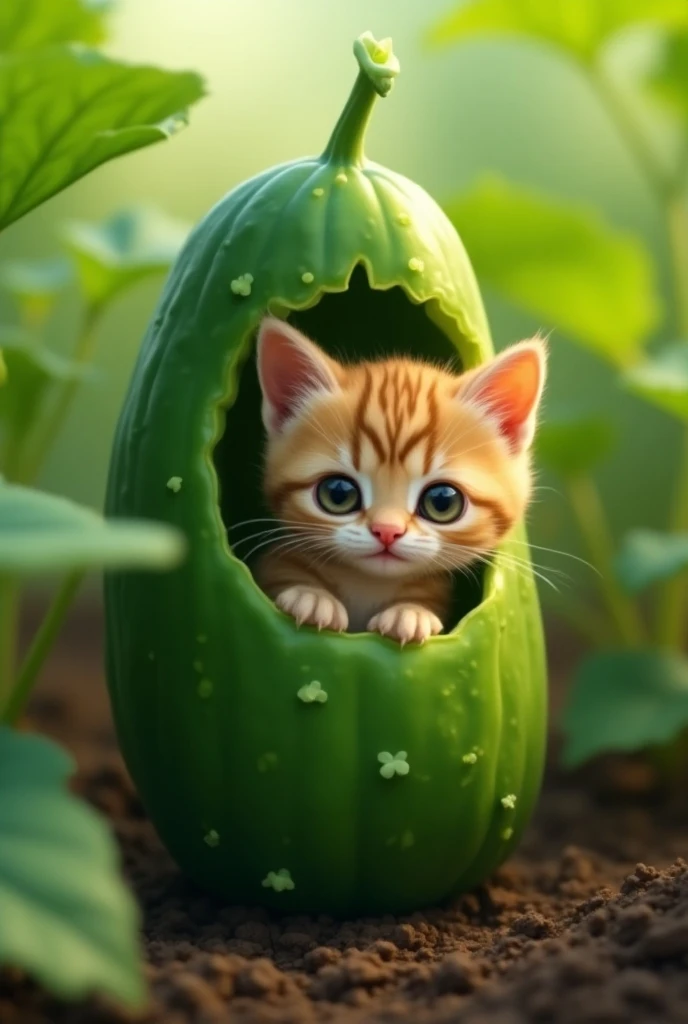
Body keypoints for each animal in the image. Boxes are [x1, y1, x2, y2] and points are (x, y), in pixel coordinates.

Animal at [249, 315, 544, 643]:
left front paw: (410, 612)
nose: (387, 531)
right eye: (338, 494)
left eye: (442, 502)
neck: (367, 585)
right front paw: (310, 595)